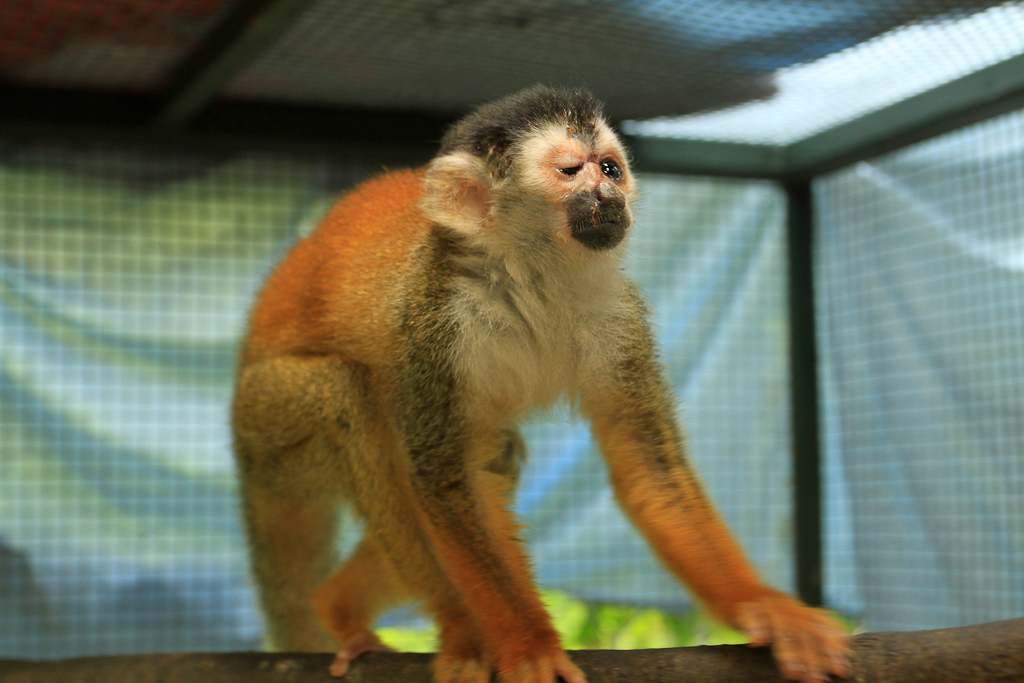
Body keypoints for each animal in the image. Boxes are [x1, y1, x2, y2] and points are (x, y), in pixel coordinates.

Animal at [235, 85, 851, 683]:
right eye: (571, 171)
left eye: (610, 168)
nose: (610, 198)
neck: (533, 276)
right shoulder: (433, 323)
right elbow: (442, 479)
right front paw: (528, 646)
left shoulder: (619, 317)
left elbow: (645, 462)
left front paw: (764, 605)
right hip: (267, 422)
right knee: (347, 401)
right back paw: (454, 624)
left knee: (492, 455)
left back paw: (341, 603)